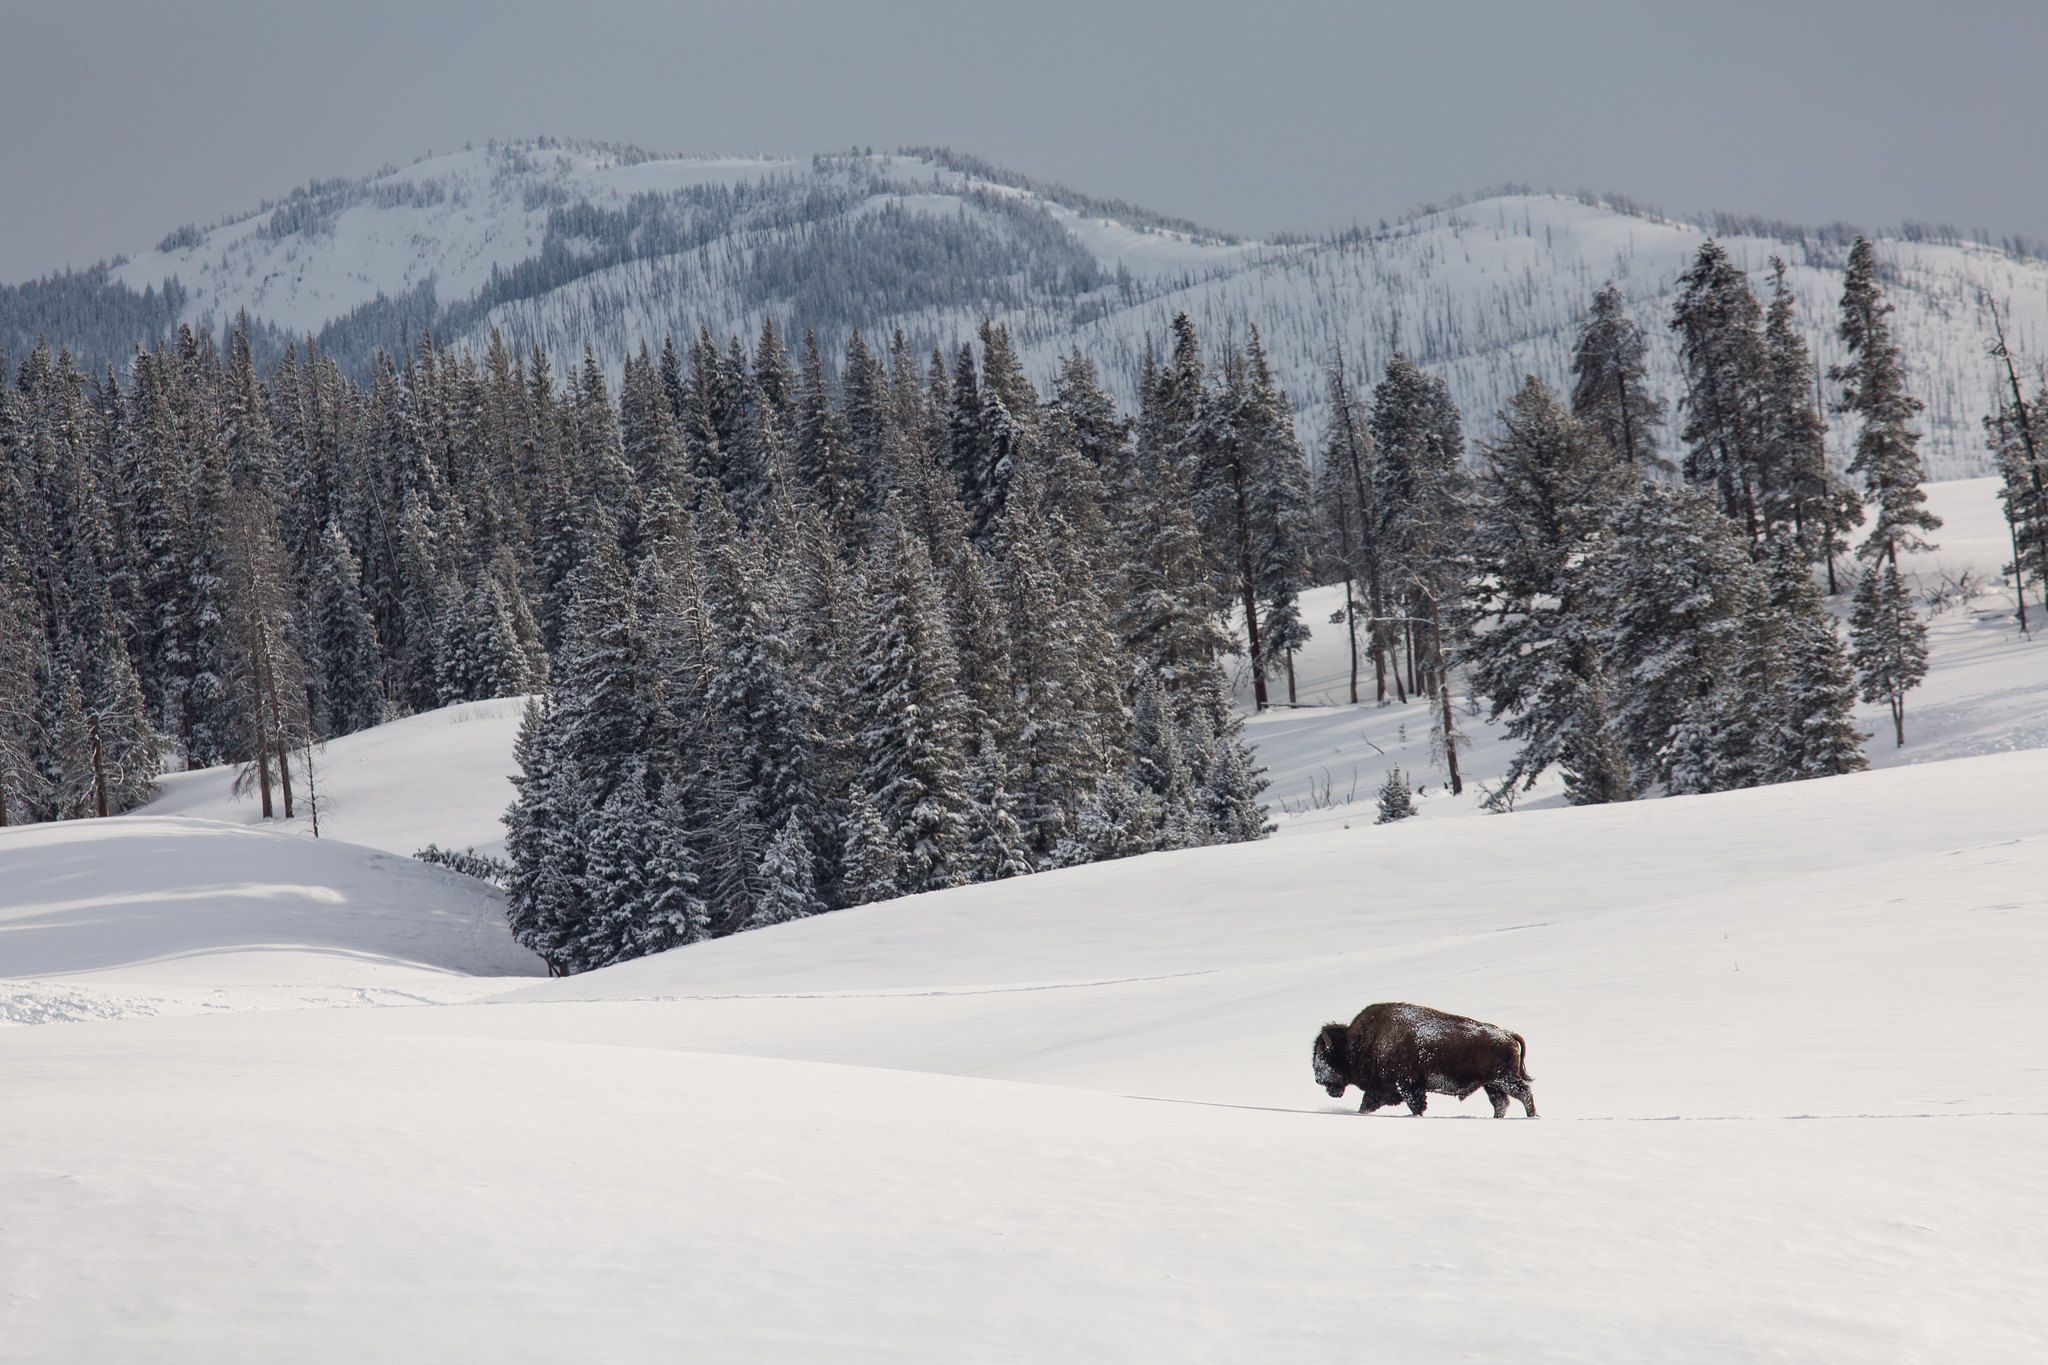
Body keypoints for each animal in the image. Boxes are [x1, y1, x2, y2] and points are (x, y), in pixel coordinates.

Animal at [1312, 1002, 1537, 1118]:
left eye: (1323, 1055)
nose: (1317, 1078)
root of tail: (1507, 1034)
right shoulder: (1385, 1090)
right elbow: (1367, 1103)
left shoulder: (1407, 1086)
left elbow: (1415, 1105)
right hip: (1491, 1084)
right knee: (1501, 1102)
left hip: (1504, 1080)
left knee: (1524, 1093)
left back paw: (1532, 1116)